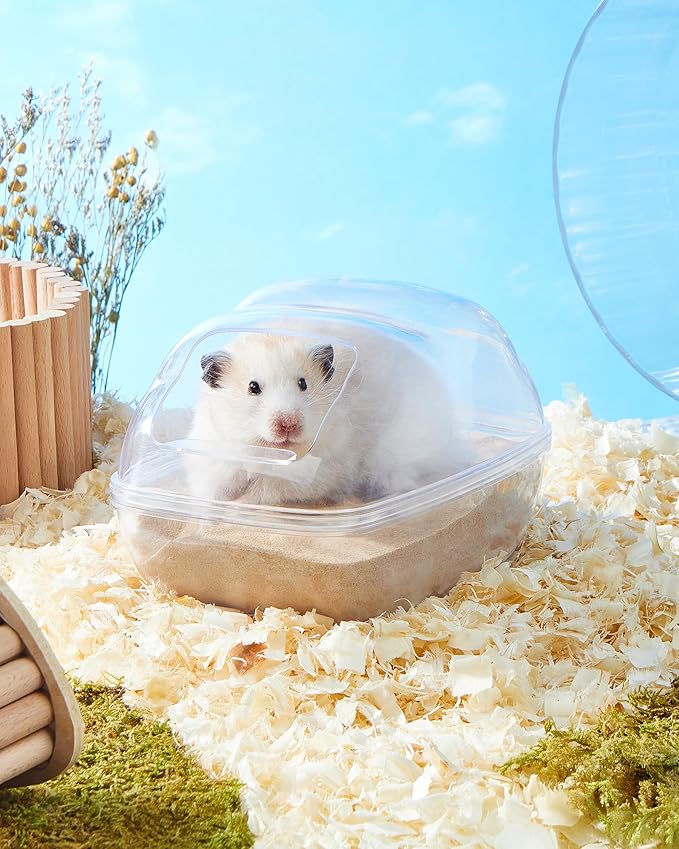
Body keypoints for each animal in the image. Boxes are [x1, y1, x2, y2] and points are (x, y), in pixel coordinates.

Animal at [185, 324, 472, 506]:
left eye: (303, 383)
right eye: (253, 387)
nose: (289, 424)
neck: (266, 451)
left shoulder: (318, 474)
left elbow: (264, 490)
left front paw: (238, 506)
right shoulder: (212, 457)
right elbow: (213, 488)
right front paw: (210, 510)